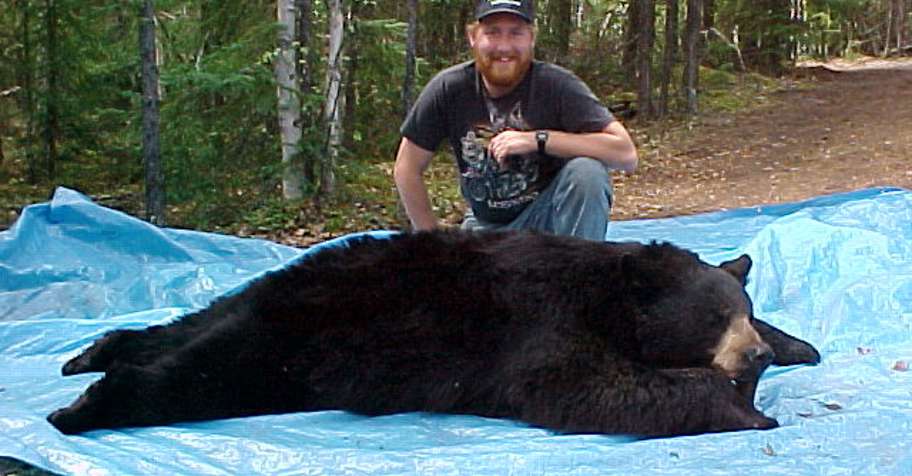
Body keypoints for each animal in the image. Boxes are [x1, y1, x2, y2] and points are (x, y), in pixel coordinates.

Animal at [47, 230, 820, 437]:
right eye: (712, 316)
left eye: (743, 308)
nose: (751, 352)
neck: (609, 299)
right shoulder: (541, 320)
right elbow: (579, 384)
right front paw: (747, 409)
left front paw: (795, 347)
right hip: (288, 344)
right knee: (198, 372)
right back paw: (84, 406)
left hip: (261, 316)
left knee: (181, 328)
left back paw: (90, 353)